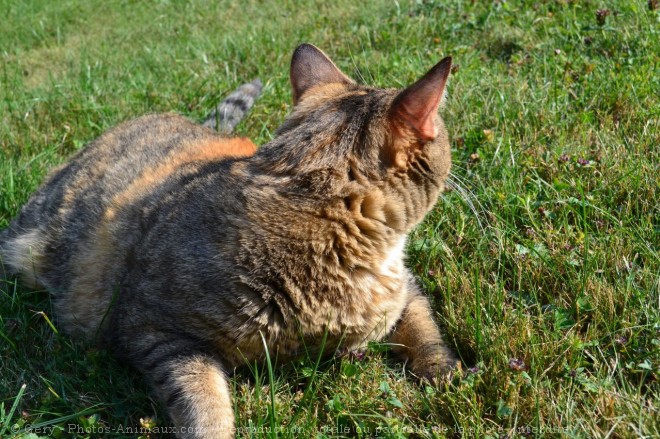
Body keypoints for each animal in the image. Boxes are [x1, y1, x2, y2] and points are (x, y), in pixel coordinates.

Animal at [1, 43, 458, 436]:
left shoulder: (403, 291)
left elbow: (425, 329)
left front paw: (444, 372)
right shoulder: (150, 326)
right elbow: (204, 400)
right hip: (24, 248)